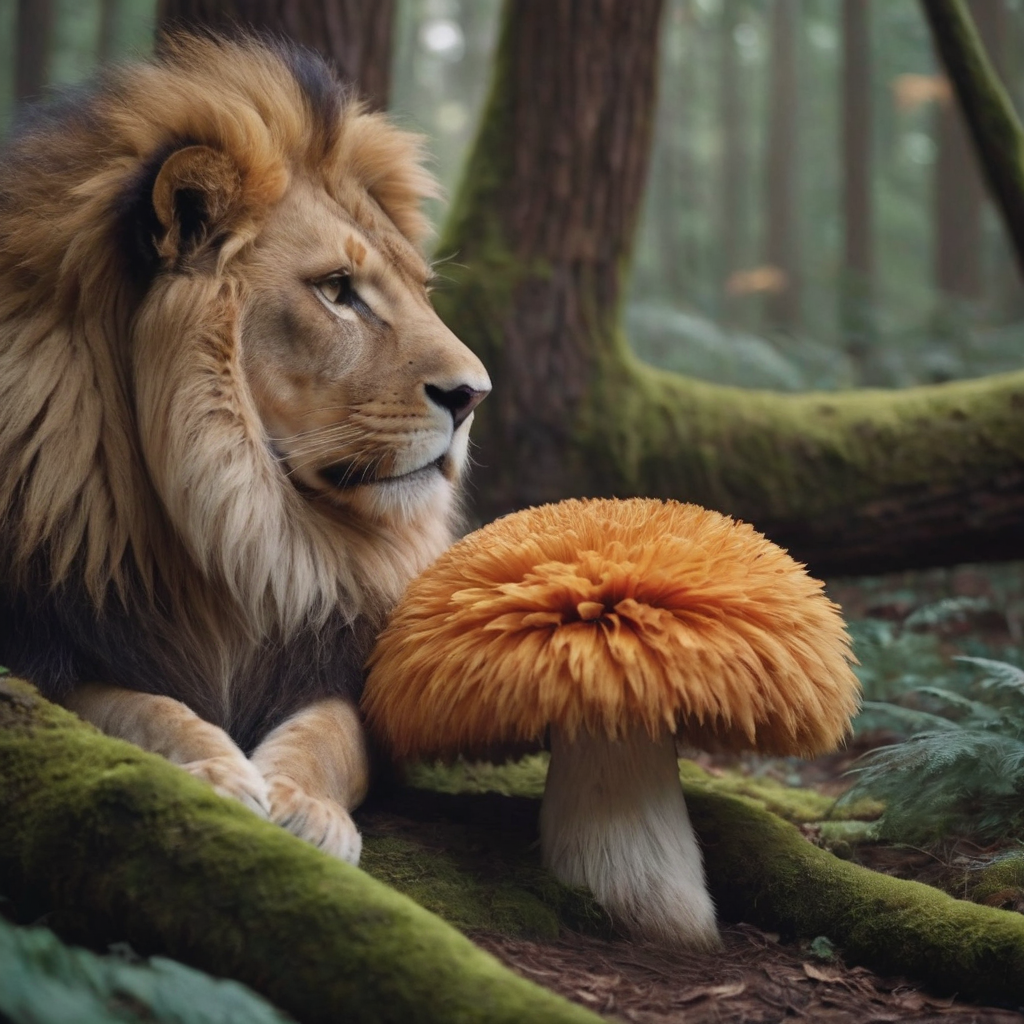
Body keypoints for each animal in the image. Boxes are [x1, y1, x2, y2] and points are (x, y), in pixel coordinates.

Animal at [0, 34, 489, 863]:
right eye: (337, 290)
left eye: (420, 290)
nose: (473, 396)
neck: (247, 526)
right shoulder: (44, 646)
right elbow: (134, 708)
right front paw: (215, 775)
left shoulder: (340, 670)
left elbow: (332, 736)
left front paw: (302, 803)